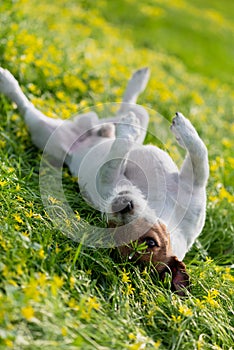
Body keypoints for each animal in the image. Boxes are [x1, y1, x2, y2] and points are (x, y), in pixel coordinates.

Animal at [0, 67, 208, 292]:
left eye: (150, 243)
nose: (121, 207)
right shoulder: (193, 188)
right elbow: (200, 154)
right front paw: (181, 127)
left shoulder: (107, 180)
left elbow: (118, 155)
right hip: (130, 119)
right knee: (128, 110)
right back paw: (134, 90)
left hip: (41, 130)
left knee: (24, 104)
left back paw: (5, 79)